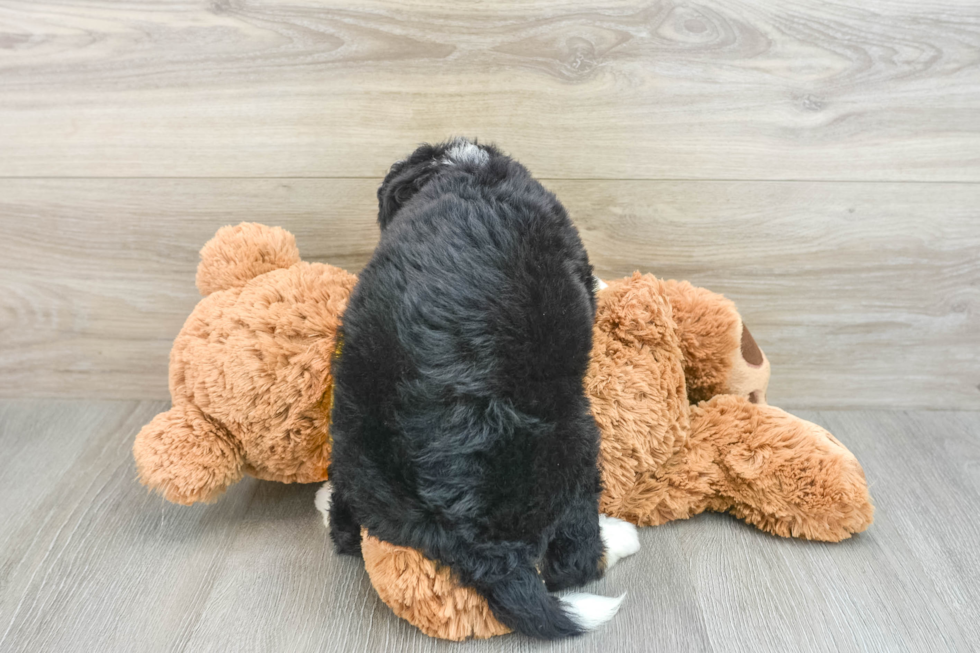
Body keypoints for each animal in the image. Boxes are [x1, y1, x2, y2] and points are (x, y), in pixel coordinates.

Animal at [326, 138, 640, 636]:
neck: (461, 171)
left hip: (354, 449)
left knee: (345, 532)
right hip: (575, 438)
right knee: (573, 560)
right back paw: (620, 536)